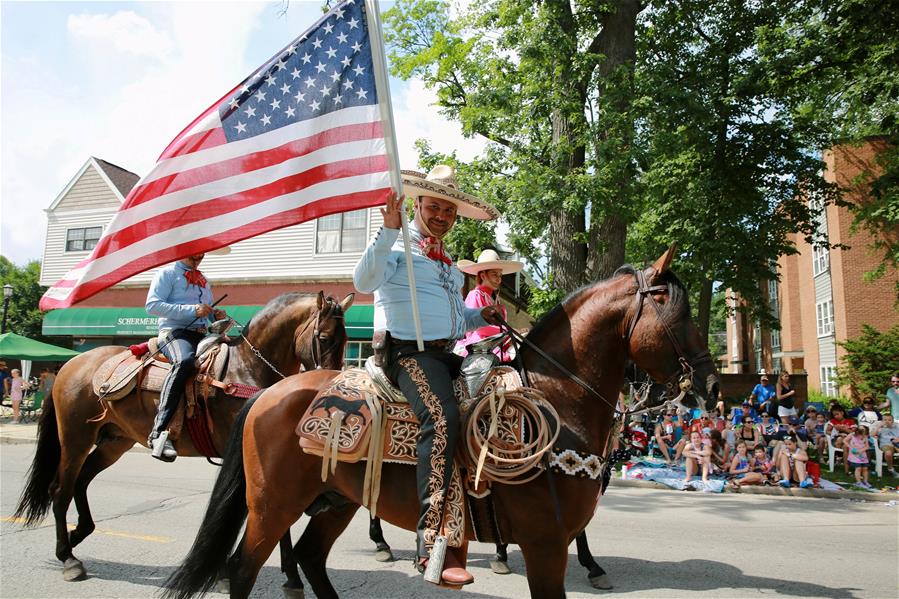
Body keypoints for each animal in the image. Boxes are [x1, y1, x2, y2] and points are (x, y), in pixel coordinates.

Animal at [14, 292, 352, 584]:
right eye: (324, 338)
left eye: (348, 341)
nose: (332, 382)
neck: (247, 369)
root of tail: (70, 365)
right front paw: (274, 575)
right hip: (75, 438)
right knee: (61, 490)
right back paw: (68, 558)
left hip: (114, 442)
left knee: (81, 482)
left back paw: (78, 533)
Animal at [165, 247, 720, 599]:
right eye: (678, 312)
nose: (712, 386)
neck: (556, 401)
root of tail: (268, 391)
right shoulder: (545, 546)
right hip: (272, 504)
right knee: (243, 569)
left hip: (335, 501)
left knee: (310, 558)